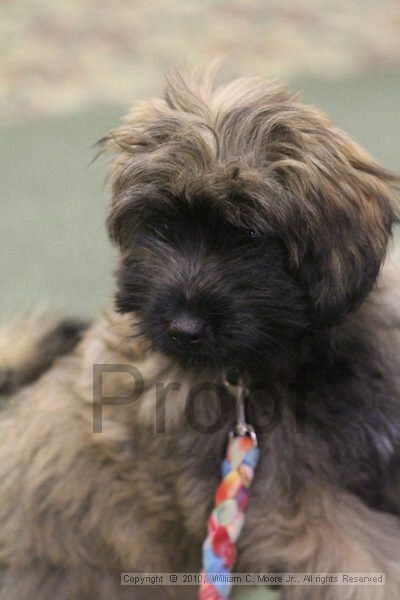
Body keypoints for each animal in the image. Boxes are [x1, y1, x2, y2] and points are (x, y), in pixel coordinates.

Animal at [0, 68, 400, 596]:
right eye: (161, 227)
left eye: (248, 235)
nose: (183, 329)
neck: (286, 360)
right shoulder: (295, 512)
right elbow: (370, 567)